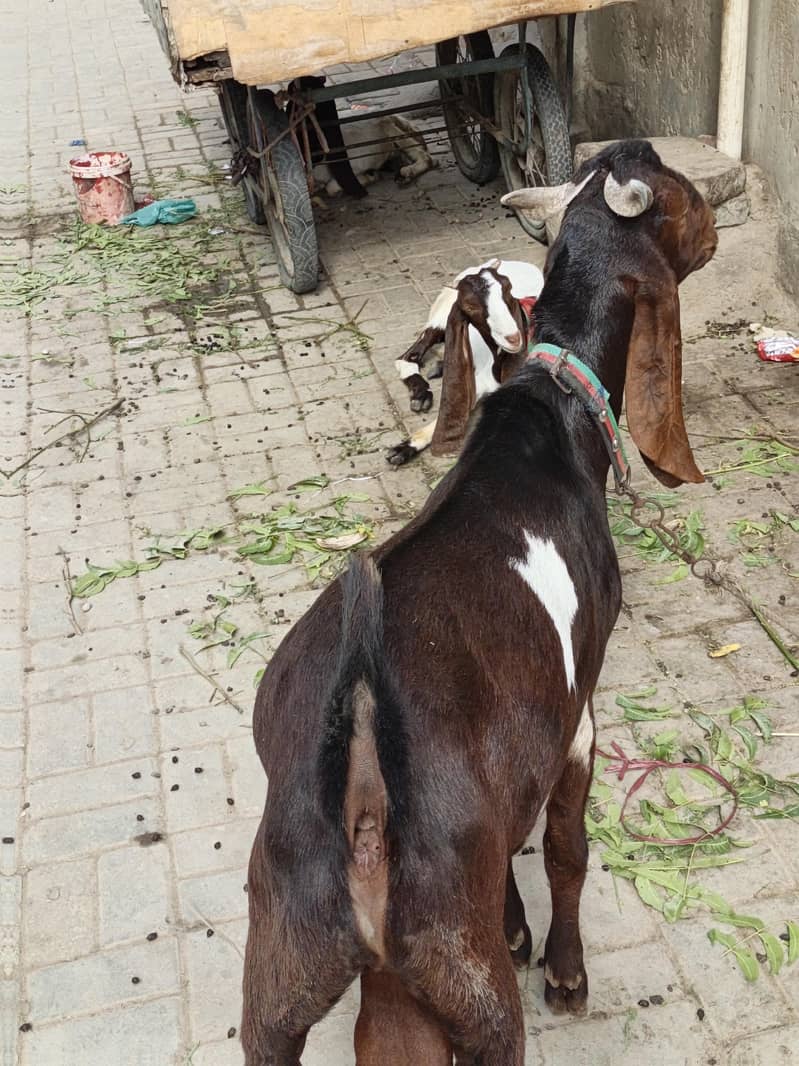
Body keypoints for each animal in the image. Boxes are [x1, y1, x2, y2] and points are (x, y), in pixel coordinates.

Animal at [388, 259, 544, 465]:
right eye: (470, 306)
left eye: (508, 290)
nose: (513, 338)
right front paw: (405, 447)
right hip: (442, 316)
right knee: (408, 355)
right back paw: (421, 395)